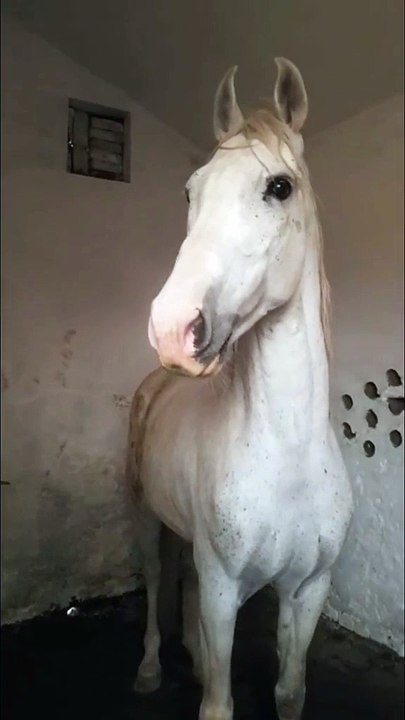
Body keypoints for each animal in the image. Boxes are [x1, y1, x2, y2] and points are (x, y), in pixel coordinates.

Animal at [126, 57, 353, 720]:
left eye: (280, 187)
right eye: (190, 192)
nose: (172, 328)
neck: (289, 455)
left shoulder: (307, 590)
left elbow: (290, 689)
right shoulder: (225, 591)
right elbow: (219, 702)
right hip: (145, 520)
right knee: (157, 581)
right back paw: (150, 669)